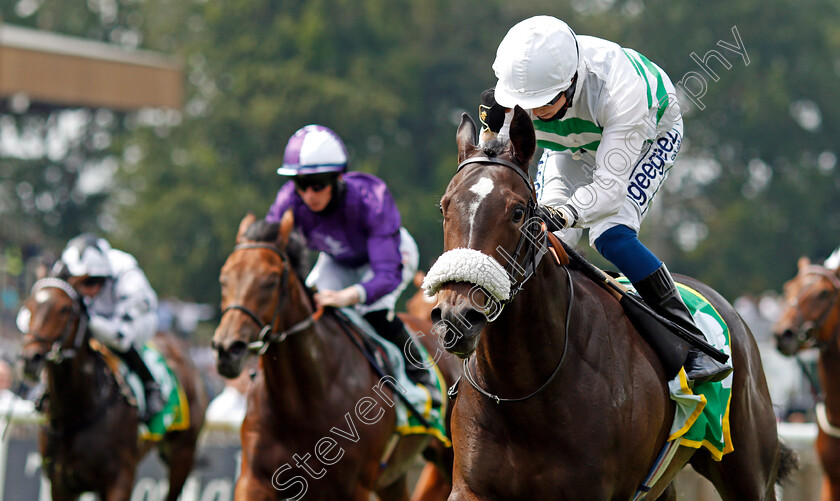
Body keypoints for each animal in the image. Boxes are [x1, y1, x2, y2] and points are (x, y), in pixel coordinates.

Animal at [19, 276, 207, 498]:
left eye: (65, 309)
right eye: (29, 306)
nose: (30, 358)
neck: (78, 411)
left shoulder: (120, 478)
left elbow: (121, 335)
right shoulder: (60, 482)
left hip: (183, 453)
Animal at [213, 212, 456, 500]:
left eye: (270, 281)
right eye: (224, 278)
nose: (228, 349)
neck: (301, 402)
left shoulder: (352, 487)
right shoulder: (254, 479)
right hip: (392, 477)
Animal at [430, 107, 796, 498]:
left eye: (516, 212)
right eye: (444, 207)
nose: (458, 317)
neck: (523, 391)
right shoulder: (470, 487)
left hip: (748, 472)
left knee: (614, 232)